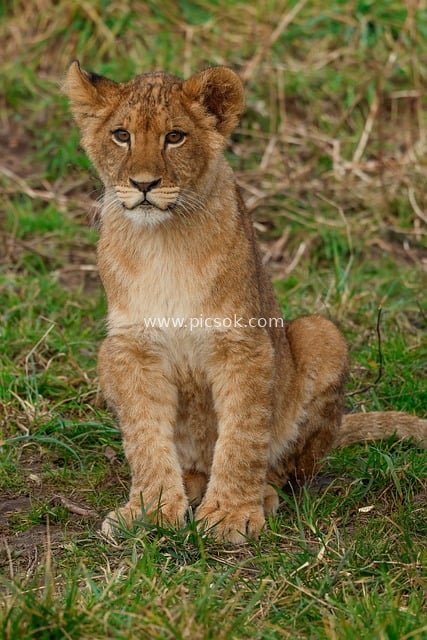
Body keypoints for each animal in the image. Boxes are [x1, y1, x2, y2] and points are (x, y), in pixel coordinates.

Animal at [64, 62, 426, 543]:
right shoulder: (130, 347)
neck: (162, 241)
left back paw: (263, 495)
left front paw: (231, 513)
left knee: (289, 468)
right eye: (121, 135)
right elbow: (144, 436)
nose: (143, 184)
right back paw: (190, 484)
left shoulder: (243, 344)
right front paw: (150, 509)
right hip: (105, 357)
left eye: (174, 137)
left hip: (320, 334)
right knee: (194, 462)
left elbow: (242, 434)